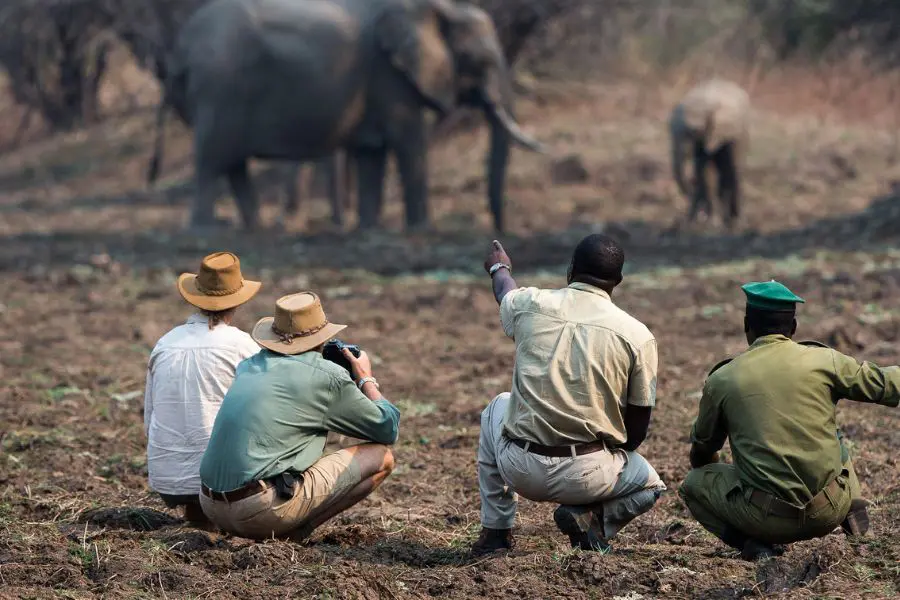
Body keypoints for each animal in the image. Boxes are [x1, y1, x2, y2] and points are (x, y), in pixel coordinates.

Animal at [149, 0, 540, 232]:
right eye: (481, 61)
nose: (500, 231)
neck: (438, 9)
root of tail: (181, 47)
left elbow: (371, 155)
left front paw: (369, 230)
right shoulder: (389, 75)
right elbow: (409, 143)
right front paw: (421, 231)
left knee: (234, 165)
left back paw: (254, 229)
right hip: (220, 89)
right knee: (212, 161)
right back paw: (204, 231)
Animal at [672, 79, 748, 230]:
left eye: (693, 132)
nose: (691, 186)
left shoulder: (726, 133)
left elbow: (730, 169)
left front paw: (727, 223)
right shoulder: (702, 141)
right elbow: (705, 171)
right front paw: (713, 223)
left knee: (733, 171)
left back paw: (735, 221)